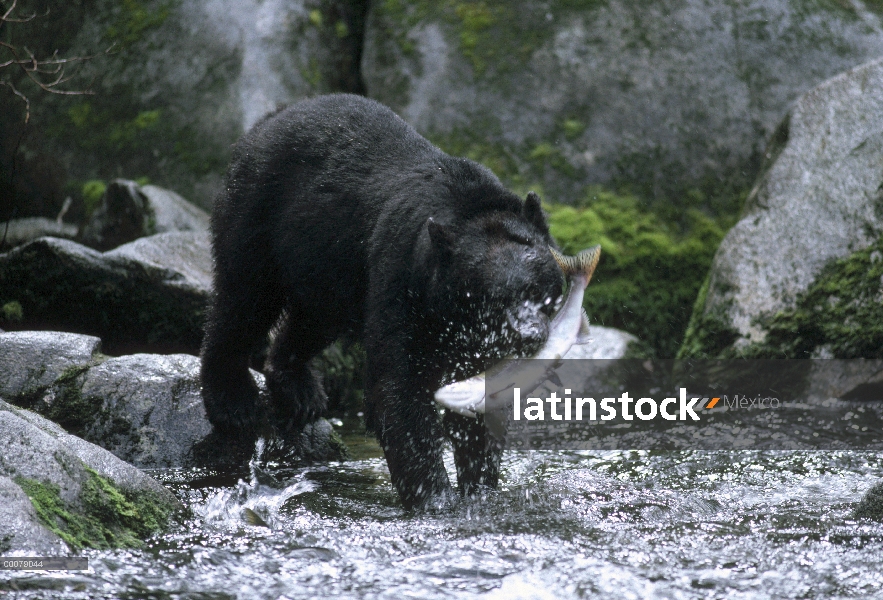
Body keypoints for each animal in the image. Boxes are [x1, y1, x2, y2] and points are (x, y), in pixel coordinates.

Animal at [200, 95, 564, 510]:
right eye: (490, 299)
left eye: (537, 290)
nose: (530, 336)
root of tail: (266, 121)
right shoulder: (400, 275)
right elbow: (397, 390)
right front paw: (436, 498)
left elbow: (481, 401)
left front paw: (480, 488)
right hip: (258, 211)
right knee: (243, 298)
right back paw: (234, 402)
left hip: (326, 261)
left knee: (313, 320)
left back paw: (300, 390)